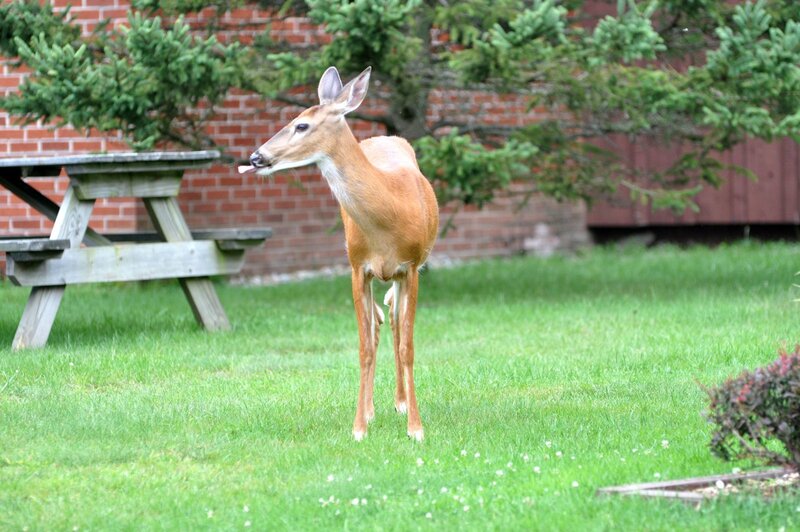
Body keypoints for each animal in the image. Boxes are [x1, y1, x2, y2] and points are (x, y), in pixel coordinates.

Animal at [239, 66, 439, 441]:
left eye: (301, 125)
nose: (256, 157)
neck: (389, 214)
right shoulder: (358, 267)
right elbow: (364, 346)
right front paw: (359, 427)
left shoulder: (411, 266)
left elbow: (408, 346)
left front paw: (416, 429)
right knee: (378, 323)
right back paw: (373, 409)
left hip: (405, 272)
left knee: (393, 318)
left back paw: (401, 402)